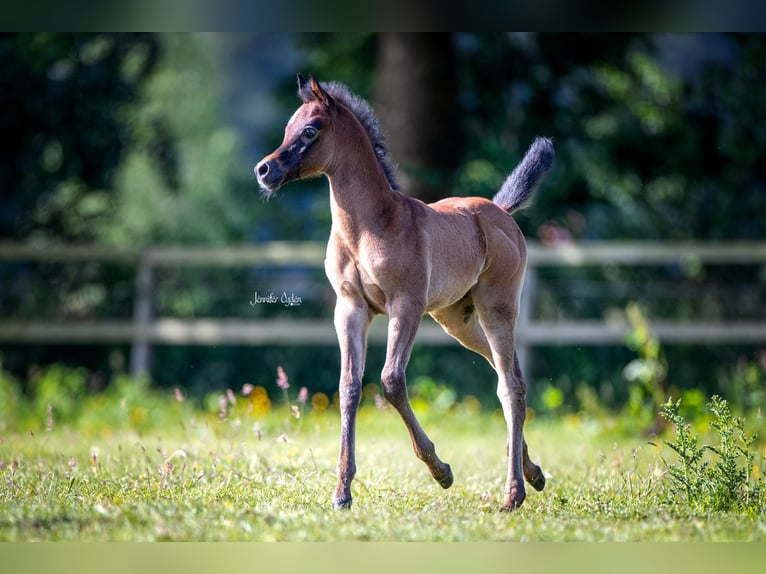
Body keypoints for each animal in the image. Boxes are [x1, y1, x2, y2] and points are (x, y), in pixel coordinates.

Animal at [255, 74, 556, 510]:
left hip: (496, 308)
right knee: (506, 372)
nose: (264, 170)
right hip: (457, 319)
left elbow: (391, 381)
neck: (370, 227)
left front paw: (441, 470)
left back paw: (513, 493)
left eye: (310, 130)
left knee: (511, 385)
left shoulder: (406, 306)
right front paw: (342, 493)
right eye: (286, 129)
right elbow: (349, 386)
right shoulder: (350, 309)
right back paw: (533, 473)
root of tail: (500, 211)